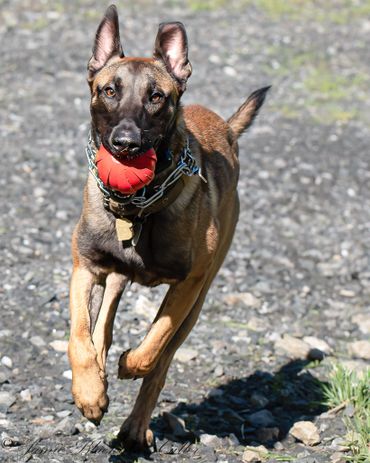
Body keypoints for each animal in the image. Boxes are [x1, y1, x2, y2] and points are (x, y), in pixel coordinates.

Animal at [68, 3, 268, 452]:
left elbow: (155, 342)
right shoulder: (85, 267)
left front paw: (128, 364)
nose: (125, 143)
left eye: (156, 97)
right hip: (114, 276)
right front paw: (90, 392)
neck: (138, 208)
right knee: (103, 322)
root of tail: (226, 127)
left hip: (199, 299)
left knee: (161, 361)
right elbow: (80, 336)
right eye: (110, 90)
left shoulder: (189, 284)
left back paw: (133, 427)